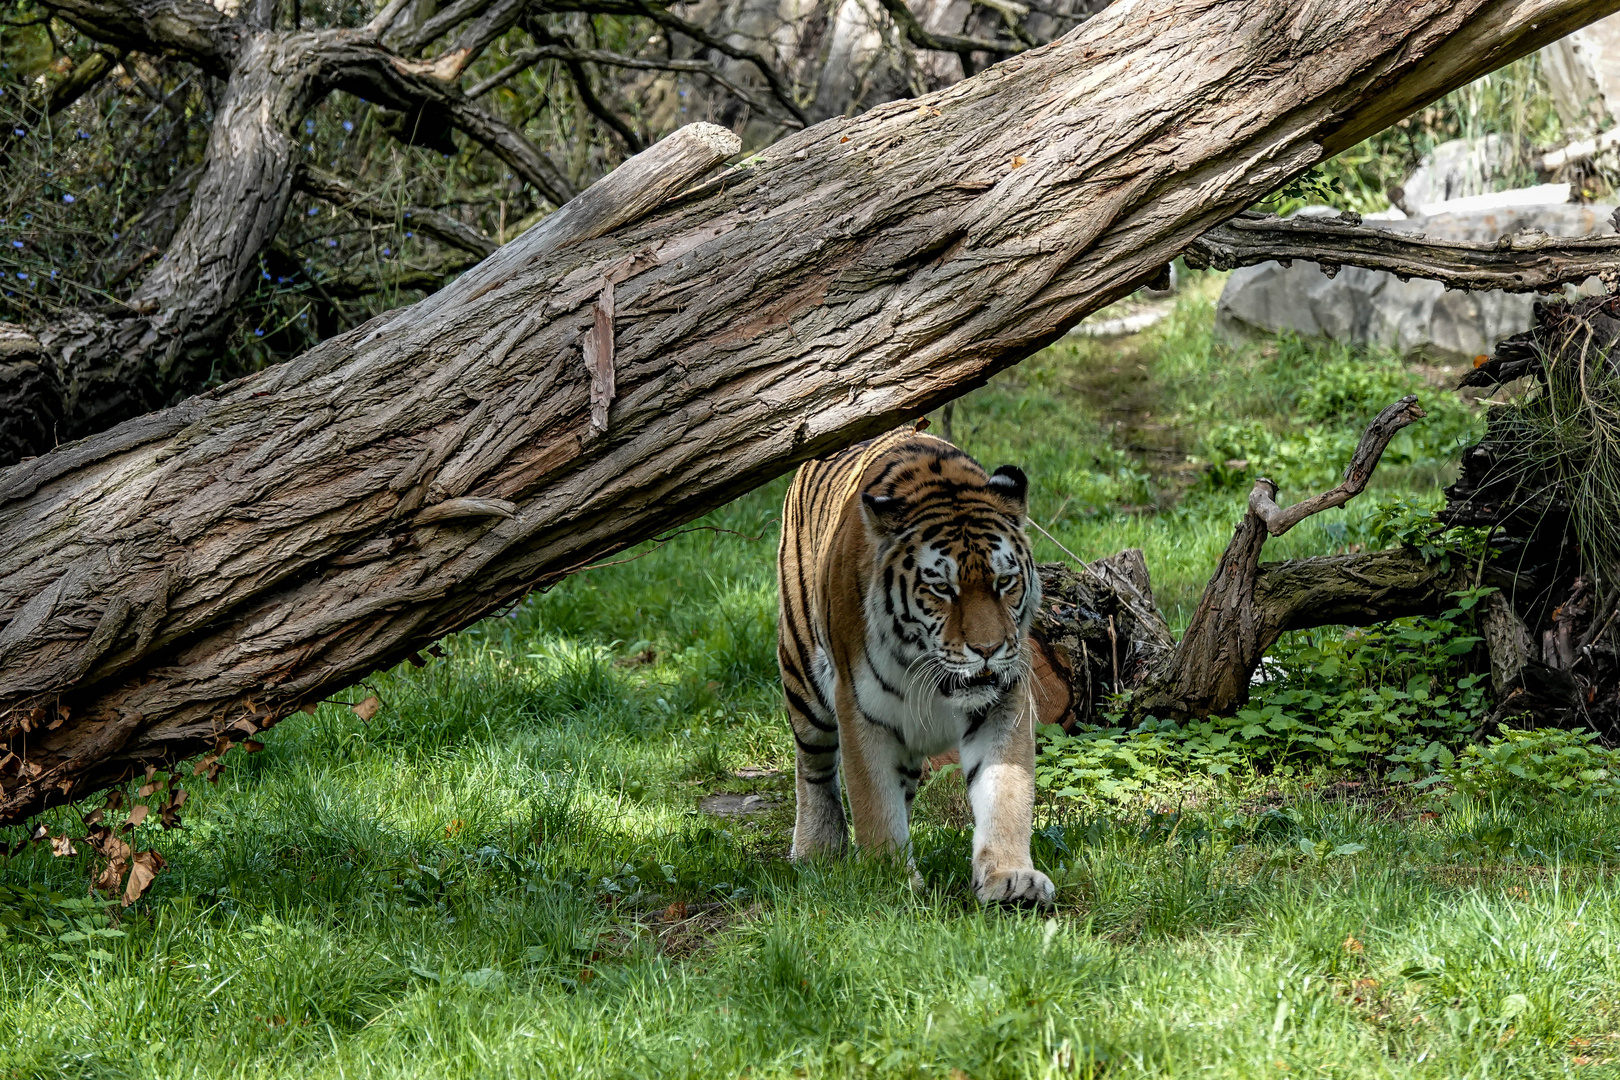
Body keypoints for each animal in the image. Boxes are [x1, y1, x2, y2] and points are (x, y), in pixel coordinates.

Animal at [777, 427, 1056, 906]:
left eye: (1005, 582)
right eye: (942, 588)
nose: (988, 648)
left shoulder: (1003, 700)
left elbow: (1005, 788)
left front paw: (1010, 877)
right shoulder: (859, 709)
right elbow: (873, 799)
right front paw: (888, 881)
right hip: (803, 675)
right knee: (813, 766)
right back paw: (817, 850)